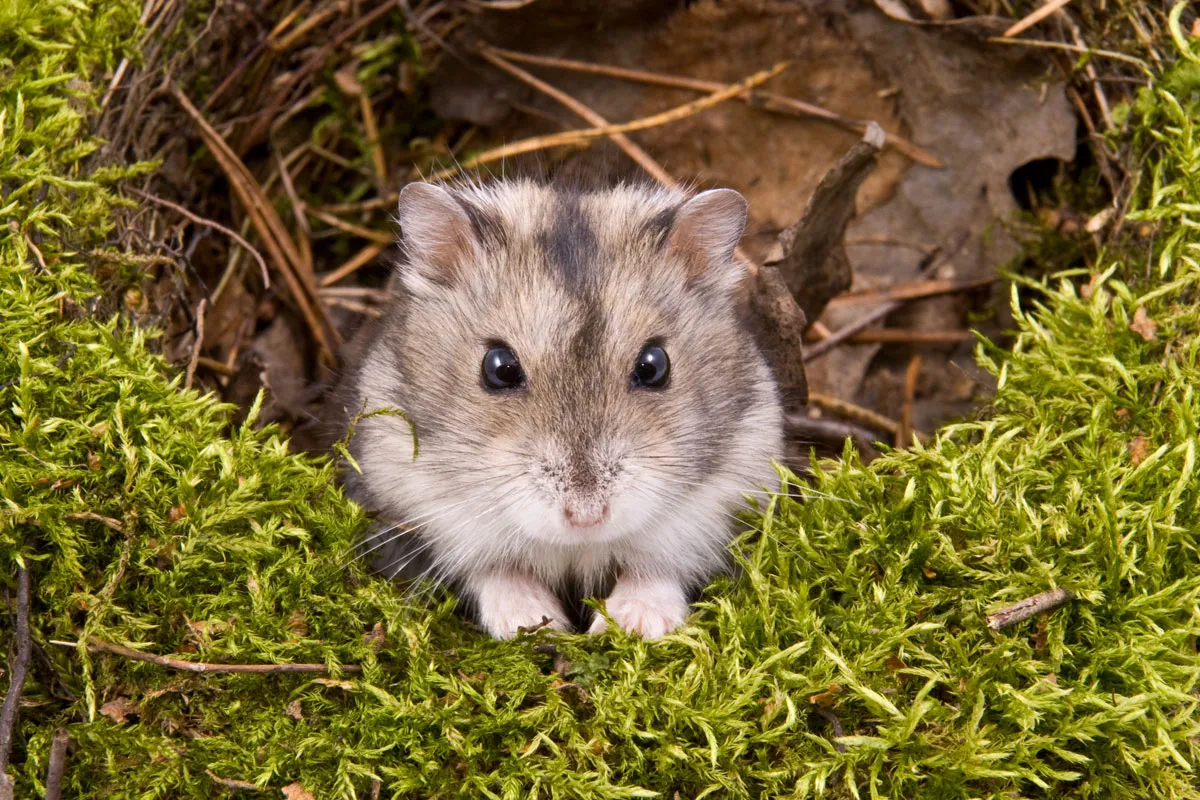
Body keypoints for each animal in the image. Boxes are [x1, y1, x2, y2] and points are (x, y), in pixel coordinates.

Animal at [332, 178, 783, 639]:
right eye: (499, 367)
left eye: (654, 365)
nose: (586, 518)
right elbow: (495, 570)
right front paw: (535, 625)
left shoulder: (722, 495)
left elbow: (656, 567)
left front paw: (633, 625)